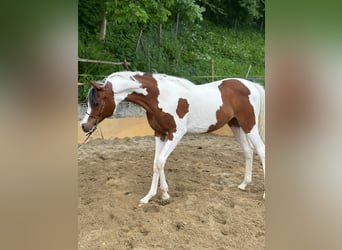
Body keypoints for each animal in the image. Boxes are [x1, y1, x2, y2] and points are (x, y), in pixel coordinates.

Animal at [80, 71, 264, 204]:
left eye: (96, 103)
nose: (84, 126)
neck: (160, 97)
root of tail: (251, 85)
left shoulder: (176, 134)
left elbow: (160, 161)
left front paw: (162, 194)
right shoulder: (160, 134)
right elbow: (156, 163)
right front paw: (154, 196)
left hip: (249, 125)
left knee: (261, 150)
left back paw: (263, 195)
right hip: (236, 125)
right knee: (248, 151)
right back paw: (243, 184)